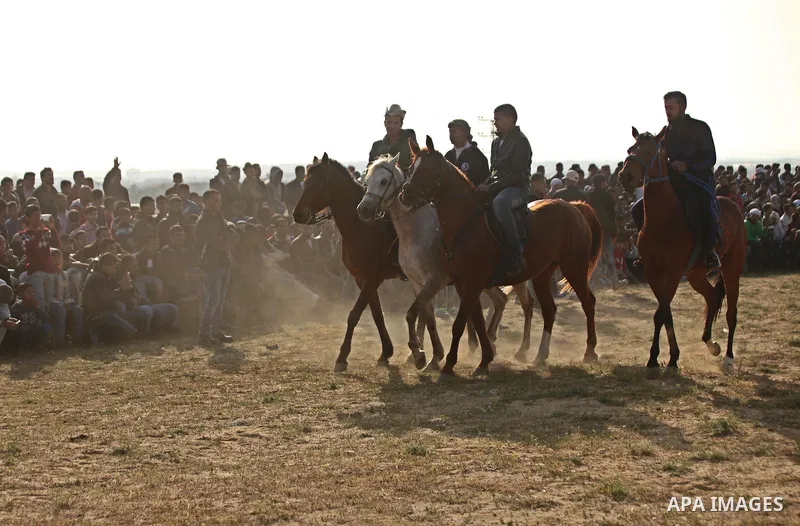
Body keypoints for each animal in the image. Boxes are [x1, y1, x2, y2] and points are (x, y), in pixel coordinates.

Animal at [293, 153, 425, 371]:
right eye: (305, 180)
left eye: (321, 182)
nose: (298, 214)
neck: (363, 227)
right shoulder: (362, 279)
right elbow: (377, 314)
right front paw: (386, 352)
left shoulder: (373, 278)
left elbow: (354, 314)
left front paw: (342, 356)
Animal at [356, 154, 534, 372]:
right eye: (367, 181)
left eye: (383, 181)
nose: (363, 210)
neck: (417, 231)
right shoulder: (419, 282)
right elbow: (428, 318)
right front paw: (429, 356)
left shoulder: (436, 281)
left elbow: (416, 315)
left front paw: (423, 355)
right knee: (501, 299)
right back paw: (490, 343)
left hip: (516, 279)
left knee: (527, 304)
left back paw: (521, 350)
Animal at [399, 136, 603, 380]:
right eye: (411, 168)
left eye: (430, 170)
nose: (405, 195)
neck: (466, 222)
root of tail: (573, 207)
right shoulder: (462, 284)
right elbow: (476, 321)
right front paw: (485, 359)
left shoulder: (472, 283)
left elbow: (460, 323)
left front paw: (448, 365)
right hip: (542, 275)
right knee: (549, 310)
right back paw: (539, 356)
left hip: (574, 268)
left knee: (588, 302)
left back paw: (589, 351)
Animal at [618, 127, 746, 373]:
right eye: (630, 149)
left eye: (649, 151)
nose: (625, 176)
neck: (664, 219)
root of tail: (733, 205)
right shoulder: (652, 271)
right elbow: (665, 312)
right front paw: (669, 357)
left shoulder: (674, 271)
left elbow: (661, 313)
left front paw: (658, 359)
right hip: (696, 273)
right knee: (712, 296)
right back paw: (710, 344)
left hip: (731, 267)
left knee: (731, 312)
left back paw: (728, 357)